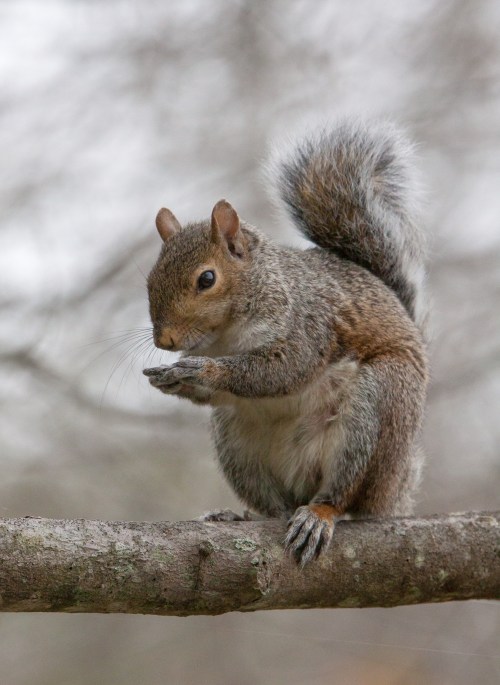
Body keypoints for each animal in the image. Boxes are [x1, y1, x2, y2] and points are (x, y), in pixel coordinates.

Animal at [143, 119, 428, 565]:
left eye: (206, 279)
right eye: (149, 280)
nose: (166, 339)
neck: (226, 335)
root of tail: (397, 493)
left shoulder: (307, 324)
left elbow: (282, 368)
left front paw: (205, 371)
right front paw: (171, 378)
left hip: (379, 406)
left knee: (344, 496)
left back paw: (319, 514)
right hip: (235, 442)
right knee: (276, 506)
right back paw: (244, 516)